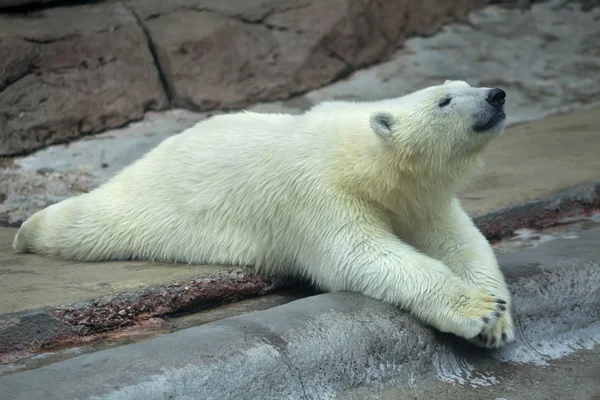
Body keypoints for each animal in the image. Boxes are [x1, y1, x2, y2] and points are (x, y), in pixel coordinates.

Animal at [11, 79, 512, 346]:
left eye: (464, 85)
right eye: (444, 101)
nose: (496, 95)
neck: (363, 161)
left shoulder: (420, 198)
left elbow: (461, 243)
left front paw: (499, 319)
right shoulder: (314, 192)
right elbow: (359, 254)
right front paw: (478, 310)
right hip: (146, 203)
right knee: (86, 223)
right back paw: (25, 230)